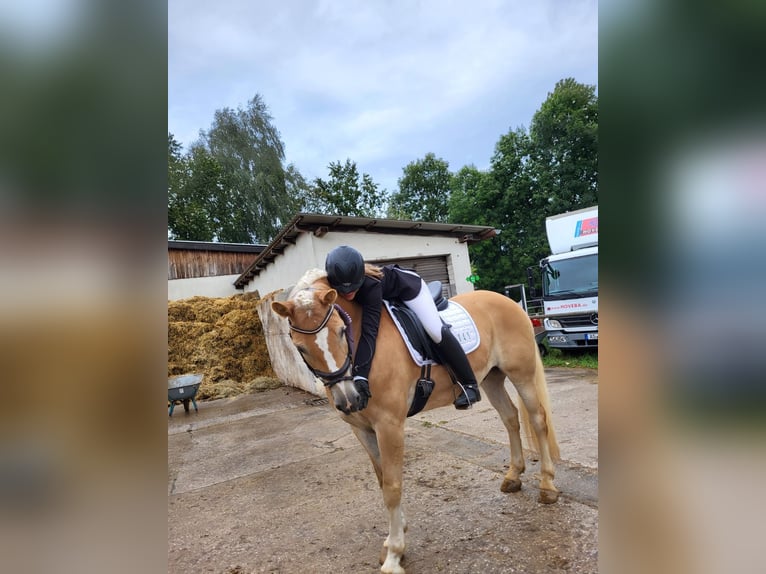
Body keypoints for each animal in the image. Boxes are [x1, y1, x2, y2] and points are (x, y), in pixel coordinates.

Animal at [272, 270, 560, 574]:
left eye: (340, 331)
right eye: (300, 347)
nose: (349, 399)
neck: (362, 342)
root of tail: (509, 302)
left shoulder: (389, 426)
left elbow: (392, 487)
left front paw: (394, 554)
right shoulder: (361, 429)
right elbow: (382, 481)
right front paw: (393, 539)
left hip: (522, 375)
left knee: (538, 420)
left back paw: (547, 486)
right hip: (491, 378)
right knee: (510, 418)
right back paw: (513, 476)